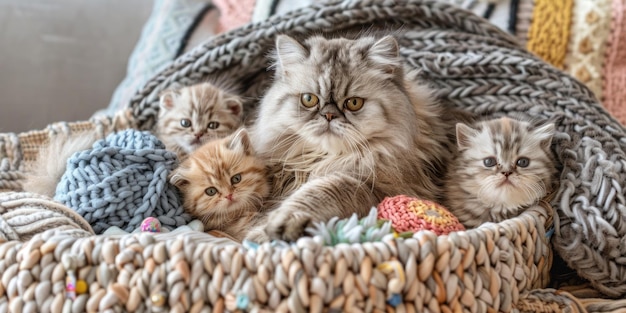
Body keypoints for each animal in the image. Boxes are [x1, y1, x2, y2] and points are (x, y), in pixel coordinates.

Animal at [247, 34, 454, 240]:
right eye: (309, 99)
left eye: (354, 103)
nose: (329, 115)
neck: (328, 158)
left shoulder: (375, 187)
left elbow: (318, 192)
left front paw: (275, 227)